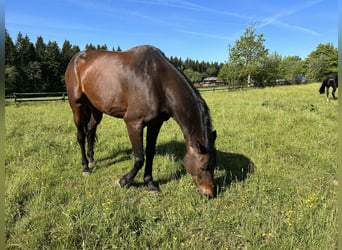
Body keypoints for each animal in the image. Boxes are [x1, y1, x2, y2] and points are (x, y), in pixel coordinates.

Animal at [65, 44, 216, 197]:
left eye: (213, 164)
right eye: (203, 166)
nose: (209, 194)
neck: (158, 81)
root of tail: (76, 58)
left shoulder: (155, 123)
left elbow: (150, 153)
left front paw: (150, 184)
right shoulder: (133, 123)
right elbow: (139, 158)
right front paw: (123, 181)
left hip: (96, 108)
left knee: (90, 131)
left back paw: (92, 160)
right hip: (77, 106)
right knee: (81, 135)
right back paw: (85, 167)